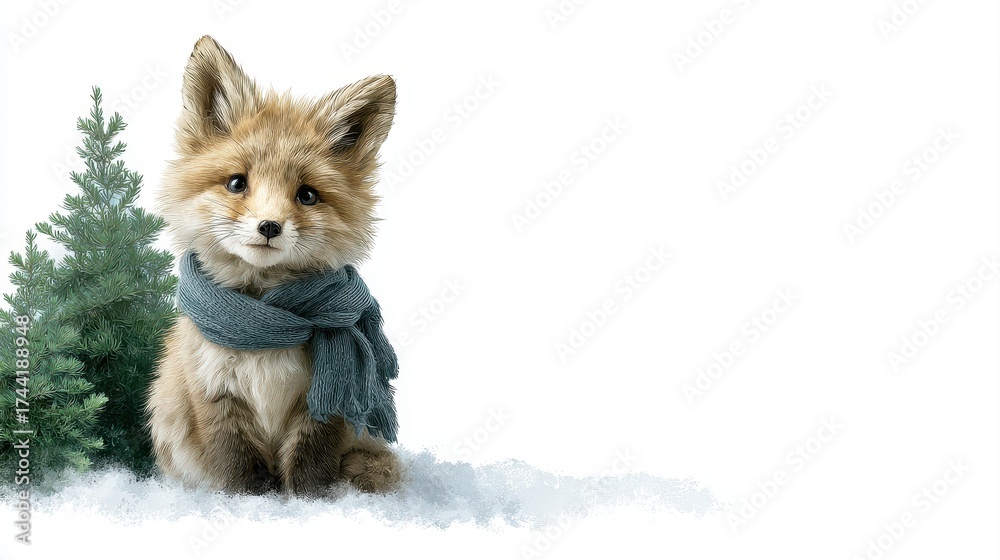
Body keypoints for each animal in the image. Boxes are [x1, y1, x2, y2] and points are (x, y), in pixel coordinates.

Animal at [146, 35, 400, 496]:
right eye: (236, 183)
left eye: (307, 195)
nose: (269, 226)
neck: (268, 318)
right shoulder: (214, 391)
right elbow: (239, 469)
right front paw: (252, 503)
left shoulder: (319, 405)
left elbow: (308, 466)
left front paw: (309, 502)